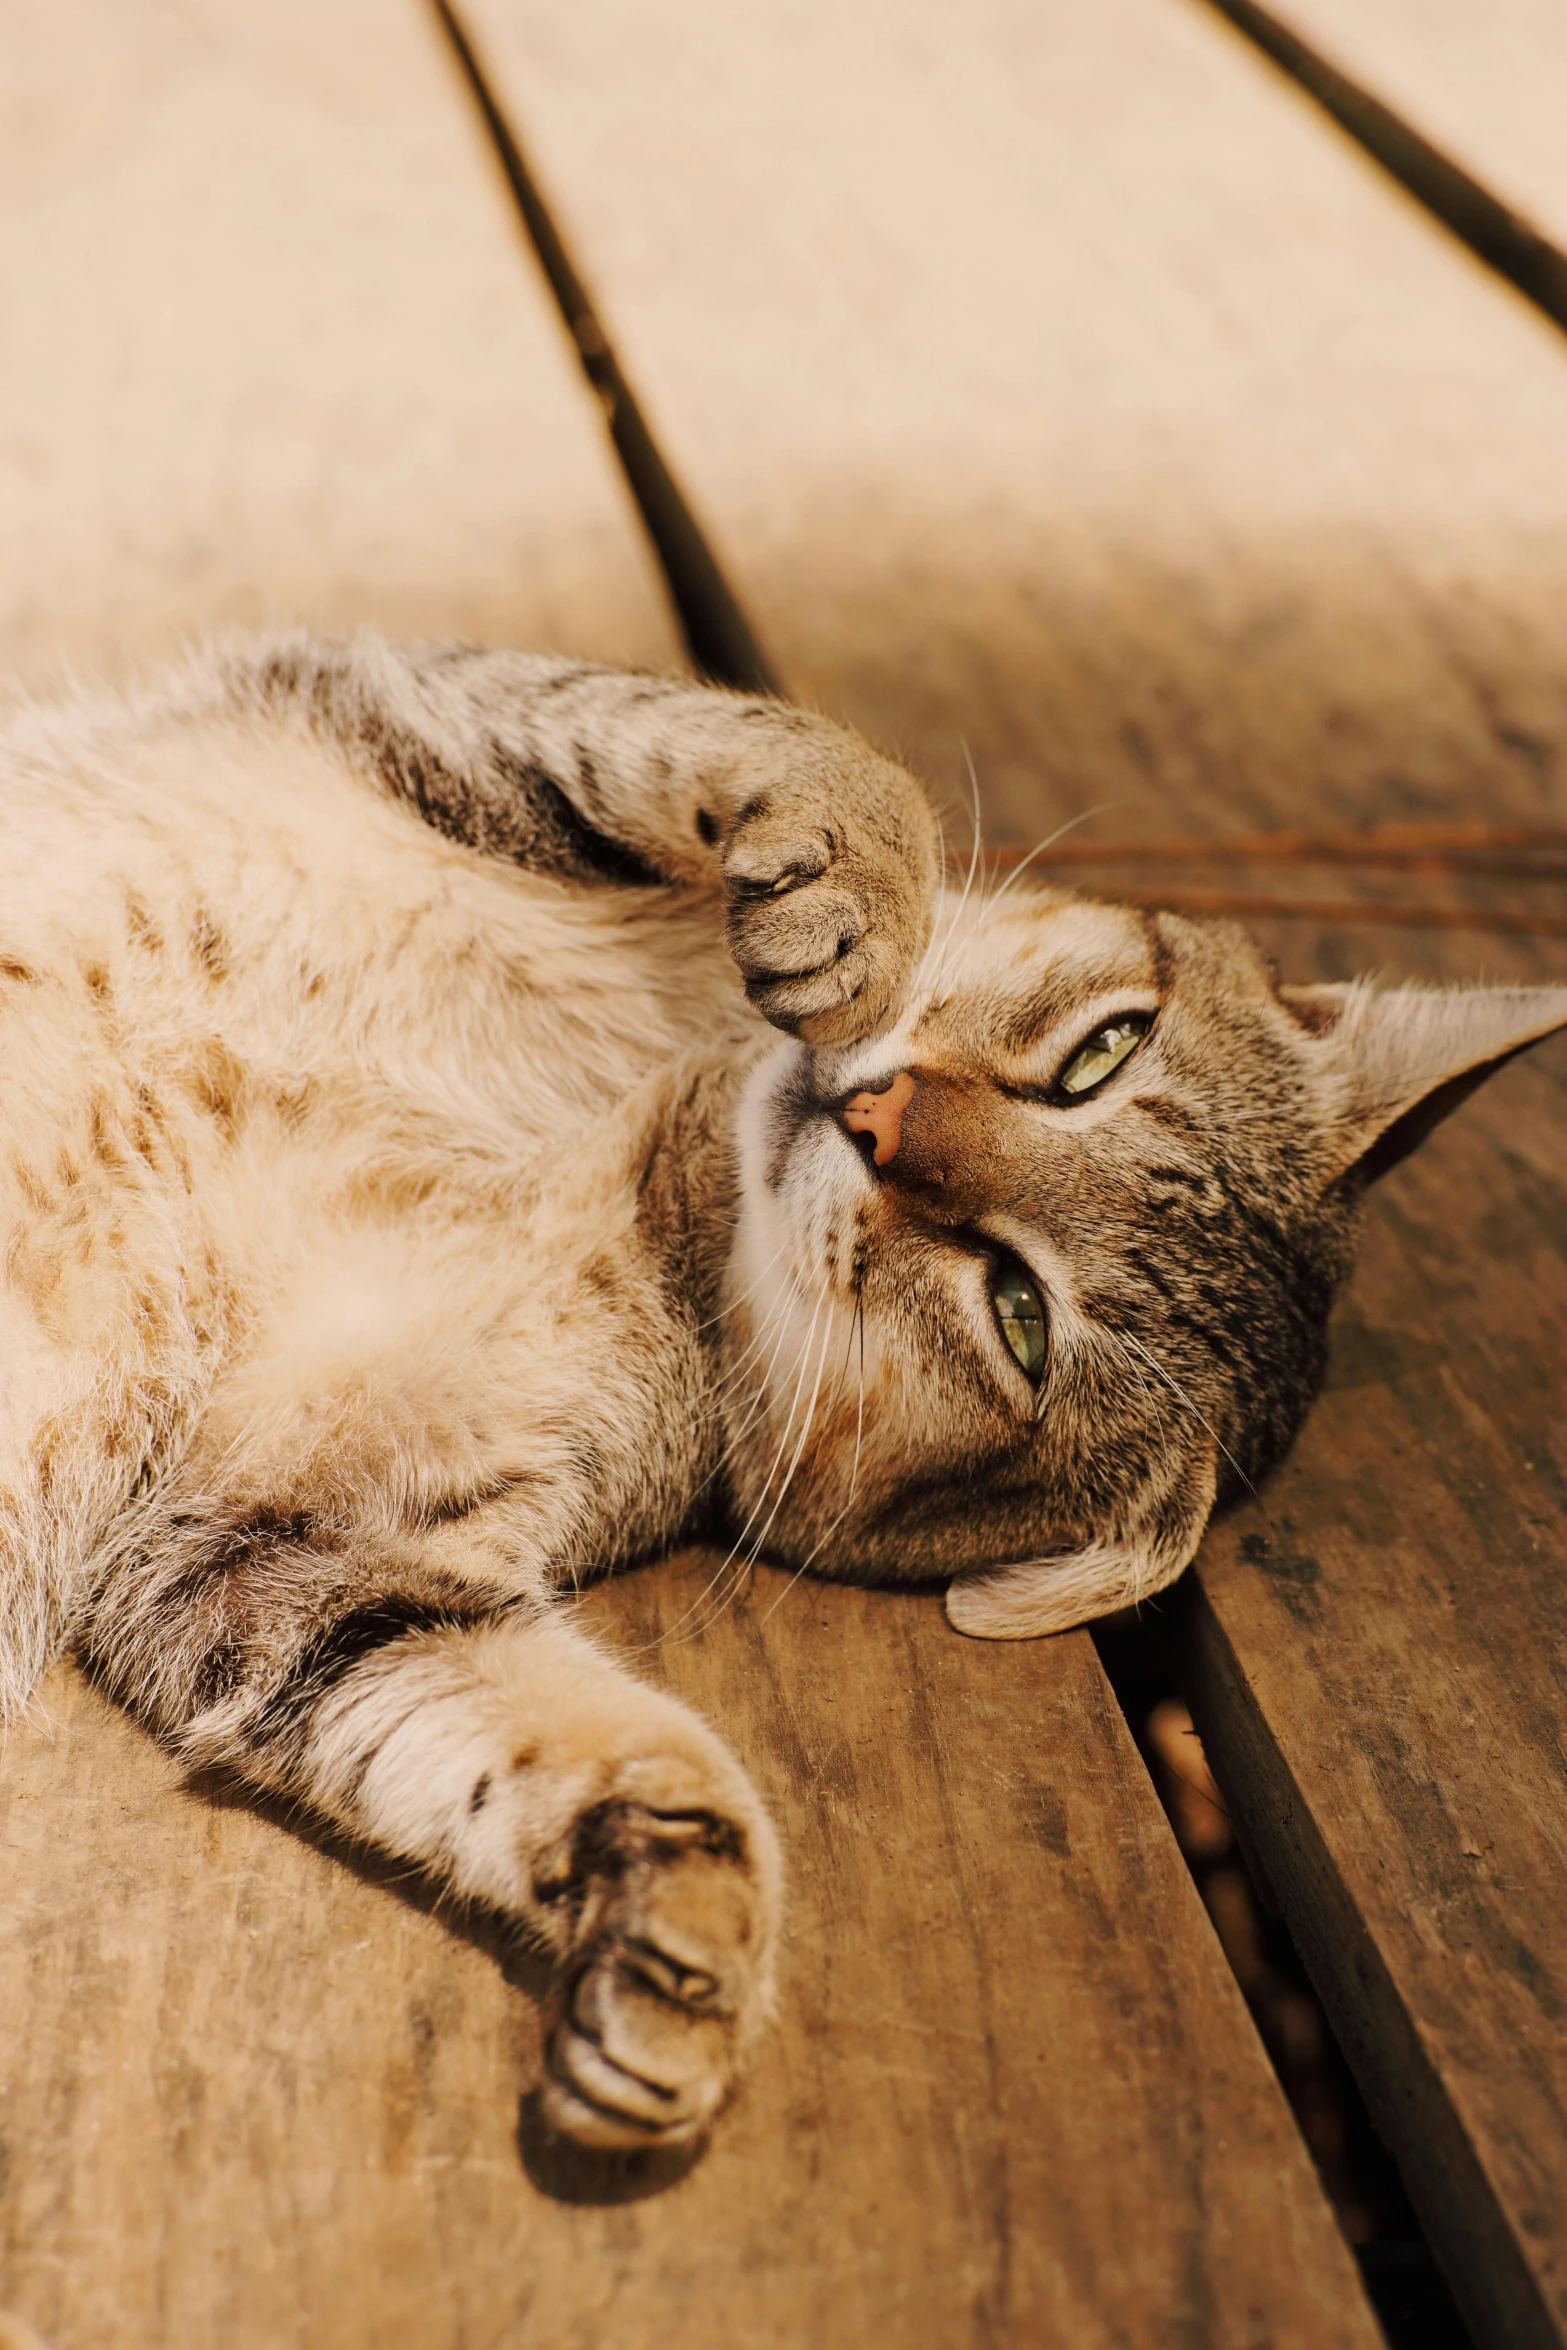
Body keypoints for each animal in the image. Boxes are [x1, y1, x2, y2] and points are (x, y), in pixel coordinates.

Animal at [3, 634, 1567, 2152]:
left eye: (1018, 1316)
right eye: (1100, 1054)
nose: (877, 1123)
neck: (648, 1117)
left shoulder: (275, 1536)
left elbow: (547, 1722)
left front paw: (684, 1926)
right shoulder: (412, 695)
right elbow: (775, 742)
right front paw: (851, 877)